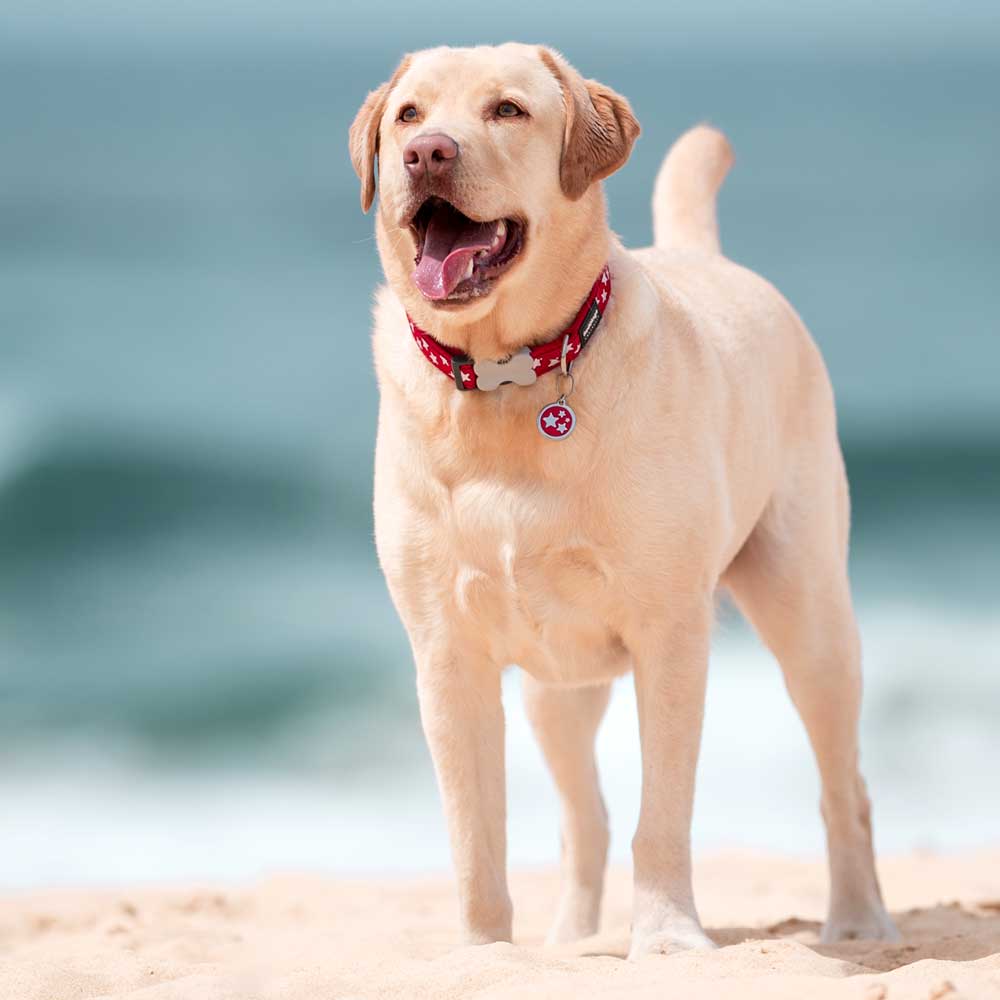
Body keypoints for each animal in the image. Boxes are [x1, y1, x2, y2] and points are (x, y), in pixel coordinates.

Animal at [350, 43, 900, 956]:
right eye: (408, 115)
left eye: (507, 110)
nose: (427, 154)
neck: (505, 379)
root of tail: (708, 256)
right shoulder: (446, 653)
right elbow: (474, 835)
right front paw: (481, 952)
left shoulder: (670, 632)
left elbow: (664, 813)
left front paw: (668, 935)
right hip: (554, 687)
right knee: (585, 820)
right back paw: (571, 940)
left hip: (809, 611)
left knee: (842, 782)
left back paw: (859, 921)